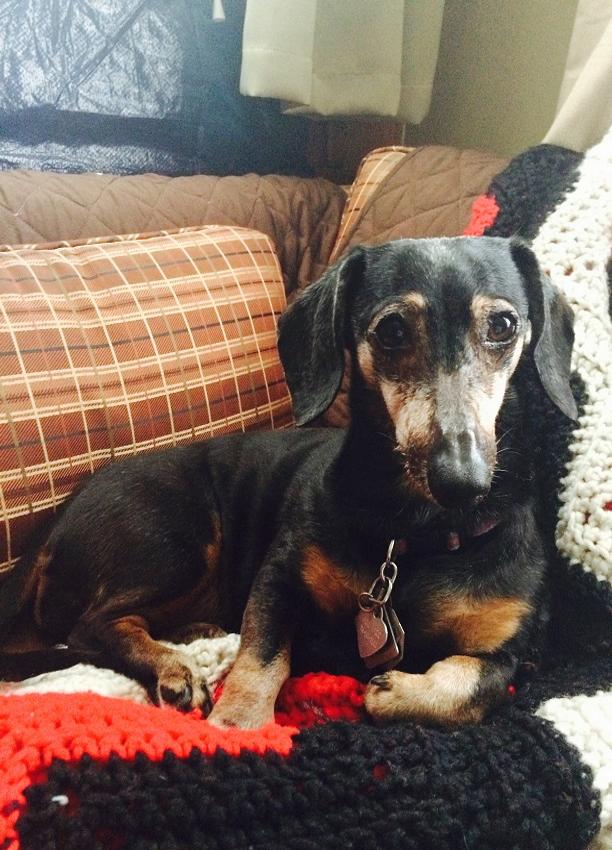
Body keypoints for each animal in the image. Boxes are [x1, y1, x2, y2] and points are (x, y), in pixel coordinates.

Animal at [0, 236, 576, 728]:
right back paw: (175, 668)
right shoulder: (279, 575)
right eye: (392, 330)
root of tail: (55, 524)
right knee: (93, 624)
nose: (462, 480)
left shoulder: (513, 652)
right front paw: (237, 724)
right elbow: (263, 659)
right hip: (176, 544)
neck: (416, 534)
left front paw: (396, 691)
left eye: (503, 325)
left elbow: (473, 687)